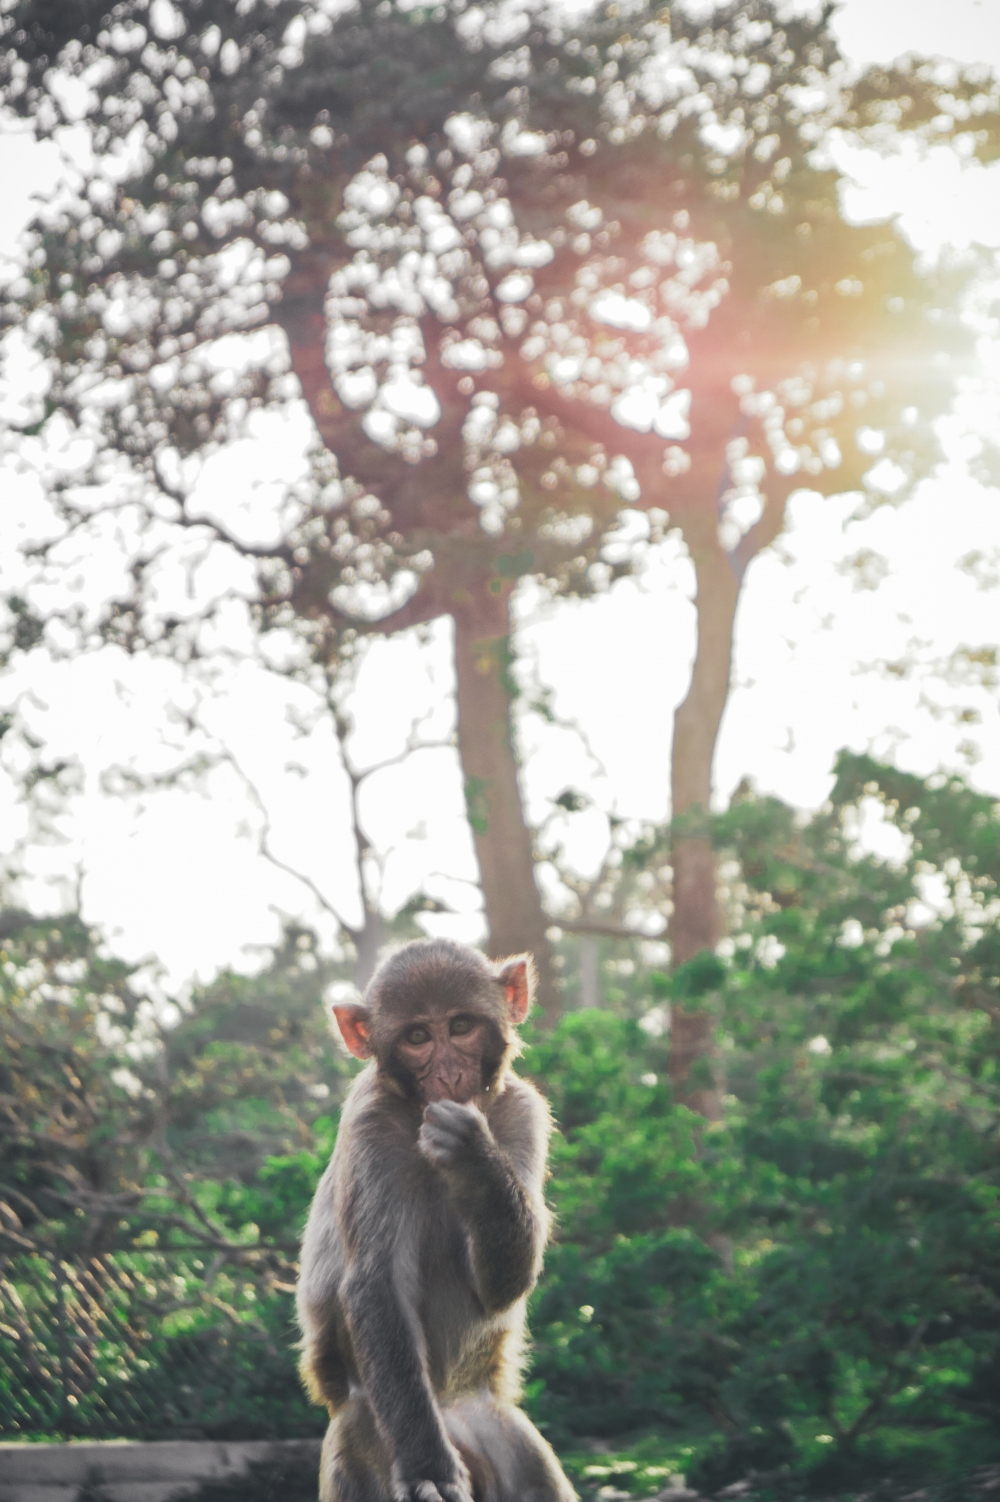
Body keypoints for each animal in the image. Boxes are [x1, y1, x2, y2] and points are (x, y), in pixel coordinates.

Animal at [296, 937, 577, 1502]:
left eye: (461, 1026)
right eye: (418, 1037)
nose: (448, 1075)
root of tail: (451, 1415)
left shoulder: (523, 1111)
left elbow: (502, 1286)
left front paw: (474, 1158)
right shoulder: (371, 1126)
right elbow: (377, 1282)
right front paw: (430, 1469)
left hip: (503, 1434)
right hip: (365, 1436)